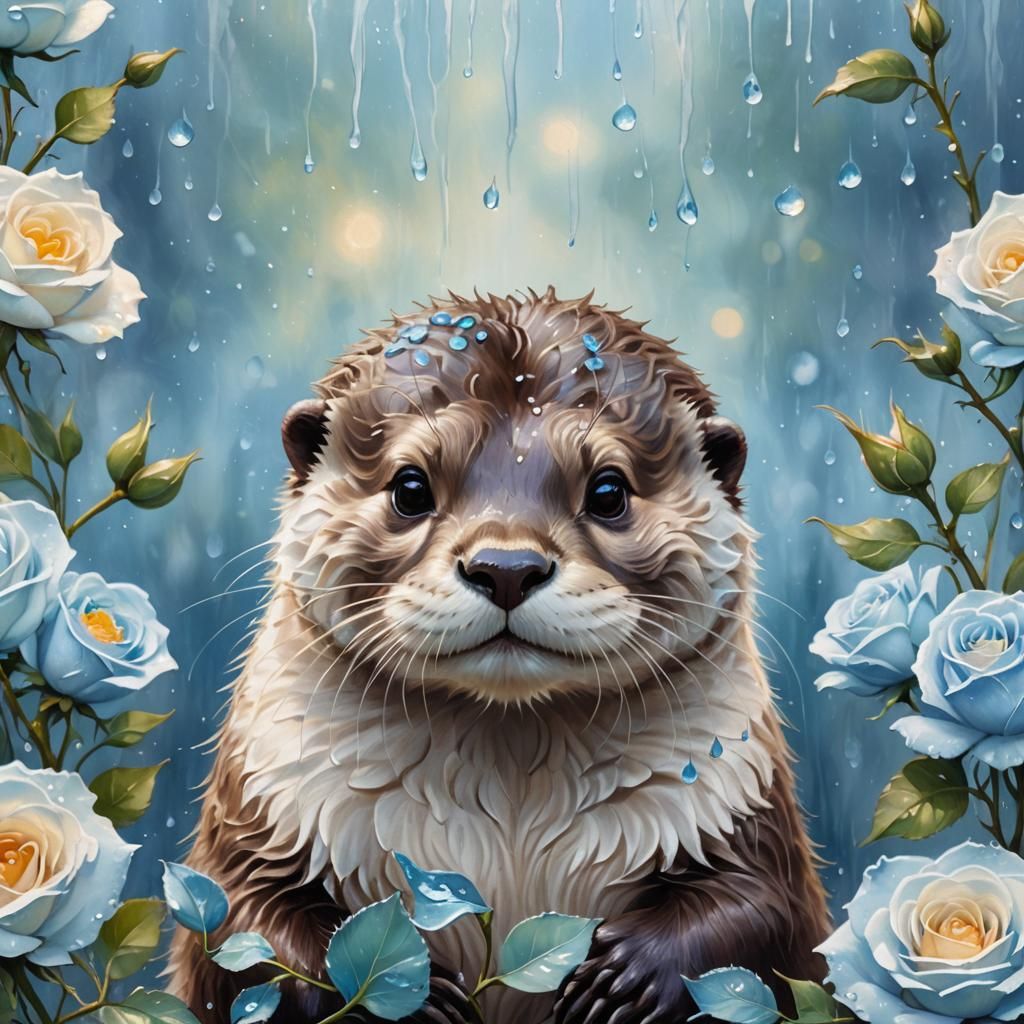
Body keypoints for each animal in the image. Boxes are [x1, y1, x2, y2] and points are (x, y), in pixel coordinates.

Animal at [169, 289, 829, 1024]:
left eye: (608, 491)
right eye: (409, 488)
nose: (506, 567)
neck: (509, 831)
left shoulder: (741, 798)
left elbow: (762, 913)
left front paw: (622, 980)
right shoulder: (262, 803)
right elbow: (239, 924)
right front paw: (405, 991)